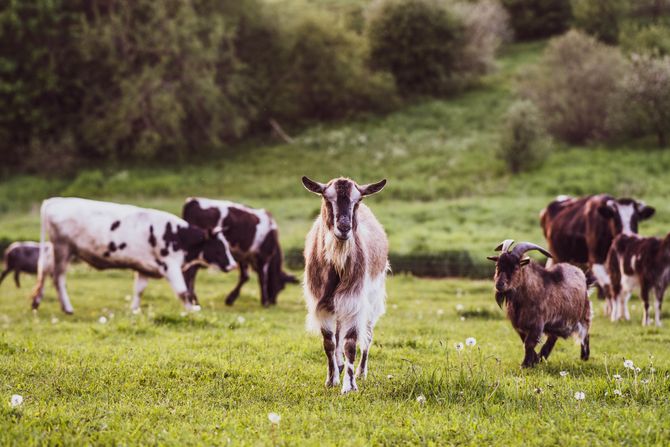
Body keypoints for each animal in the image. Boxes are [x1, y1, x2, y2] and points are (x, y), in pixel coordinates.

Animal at [30, 198, 236, 316]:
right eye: (219, 247)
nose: (233, 265)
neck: (177, 235)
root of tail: (56, 200)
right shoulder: (170, 265)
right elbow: (182, 291)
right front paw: (191, 310)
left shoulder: (144, 268)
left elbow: (139, 290)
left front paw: (135, 310)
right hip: (63, 249)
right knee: (58, 278)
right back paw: (67, 308)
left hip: (57, 249)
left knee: (45, 270)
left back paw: (36, 302)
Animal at [304, 177, 392, 394]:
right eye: (327, 199)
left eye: (357, 200)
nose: (344, 227)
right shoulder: (321, 302)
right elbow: (329, 342)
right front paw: (331, 379)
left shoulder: (354, 299)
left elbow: (350, 343)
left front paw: (349, 386)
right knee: (338, 333)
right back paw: (339, 364)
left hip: (373, 298)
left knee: (367, 336)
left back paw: (361, 372)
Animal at [488, 240, 592, 370]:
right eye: (497, 265)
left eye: (515, 267)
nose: (499, 284)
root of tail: (581, 274)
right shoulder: (520, 326)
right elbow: (525, 342)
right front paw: (534, 360)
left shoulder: (537, 323)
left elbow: (529, 344)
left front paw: (526, 364)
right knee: (553, 338)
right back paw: (542, 357)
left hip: (584, 315)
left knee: (585, 334)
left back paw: (585, 356)